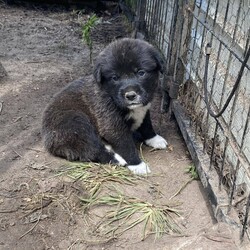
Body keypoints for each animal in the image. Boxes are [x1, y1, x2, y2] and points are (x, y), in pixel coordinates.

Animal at [42, 38, 168, 175]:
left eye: (141, 73)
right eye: (115, 78)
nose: (130, 95)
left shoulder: (144, 110)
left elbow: (147, 125)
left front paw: (154, 139)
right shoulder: (111, 123)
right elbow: (126, 144)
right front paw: (137, 164)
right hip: (75, 124)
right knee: (89, 149)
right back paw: (117, 159)